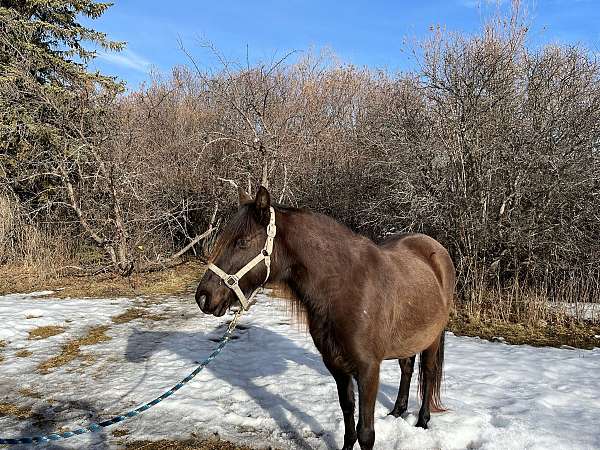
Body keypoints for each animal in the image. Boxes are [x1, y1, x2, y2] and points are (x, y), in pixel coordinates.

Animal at [196, 186, 454, 450]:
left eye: (242, 242)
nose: (203, 297)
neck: (344, 288)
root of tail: (435, 248)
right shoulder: (336, 365)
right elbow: (348, 413)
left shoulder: (369, 369)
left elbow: (366, 432)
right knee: (407, 368)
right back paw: (397, 411)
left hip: (432, 339)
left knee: (429, 373)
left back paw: (422, 421)